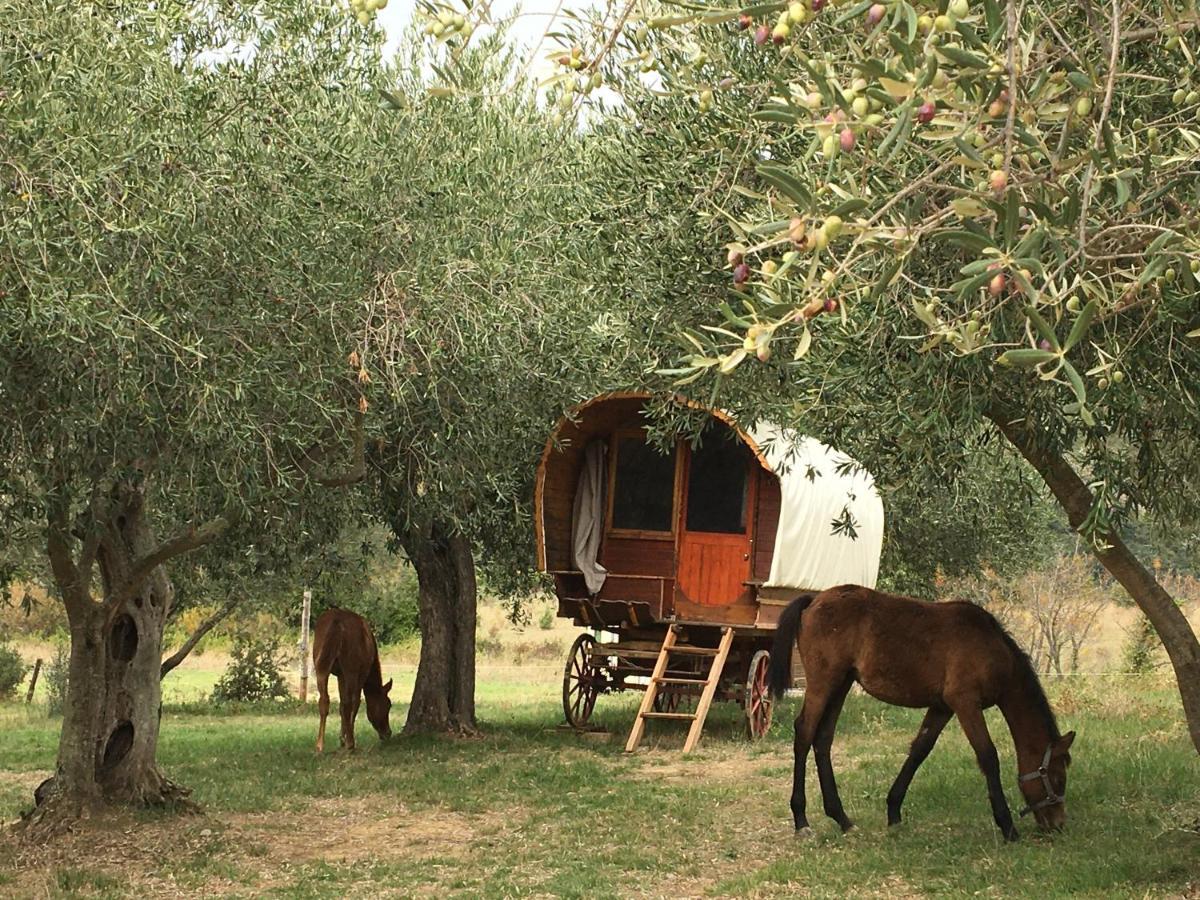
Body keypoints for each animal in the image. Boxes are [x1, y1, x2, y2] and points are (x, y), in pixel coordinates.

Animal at [314, 607, 393, 753]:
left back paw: (319, 745)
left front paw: (342, 738)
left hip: (321, 668)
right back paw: (351, 743)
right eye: (388, 705)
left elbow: (341, 704)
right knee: (348, 703)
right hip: (350, 670)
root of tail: (337, 622)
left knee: (324, 701)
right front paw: (347, 739)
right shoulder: (360, 674)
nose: (388, 733)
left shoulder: (340, 675)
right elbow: (355, 702)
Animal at [768, 588, 1080, 844]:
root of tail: (814, 600)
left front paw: (894, 812)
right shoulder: (965, 703)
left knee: (823, 739)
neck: (990, 648)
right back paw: (801, 821)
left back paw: (842, 819)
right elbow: (988, 756)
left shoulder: (942, 707)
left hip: (841, 684)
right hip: (823, 683)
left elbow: (919, 750)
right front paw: (1007, 826)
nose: (1057, 824)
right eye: (1058, 779)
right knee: (804, 733)